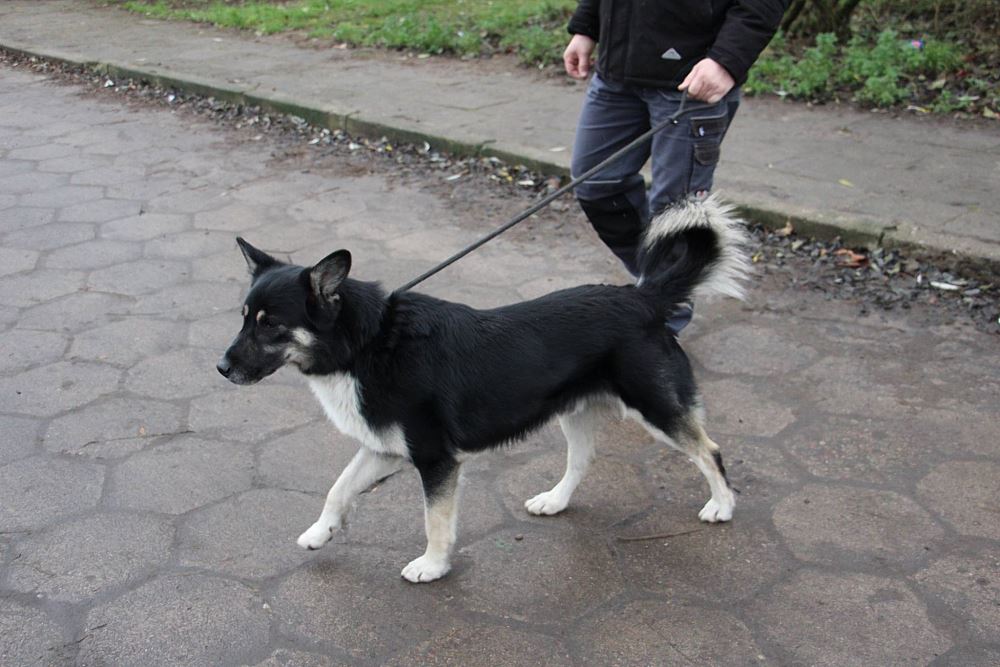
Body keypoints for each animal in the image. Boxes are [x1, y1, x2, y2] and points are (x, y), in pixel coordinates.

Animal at [217, 194, 749, 583]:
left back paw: (723, 505)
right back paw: (555, 501)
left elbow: (434, 520)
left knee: (709, 451)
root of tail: (642, 297)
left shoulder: (435, 460)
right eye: (244, 318)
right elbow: (337, 488)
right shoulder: (384, 449)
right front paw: (320, 532)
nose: (221, 368)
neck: (366, 344)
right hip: (575, 412)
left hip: (656, 407)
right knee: (582, 461)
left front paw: (432, 566)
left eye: (270, 325)